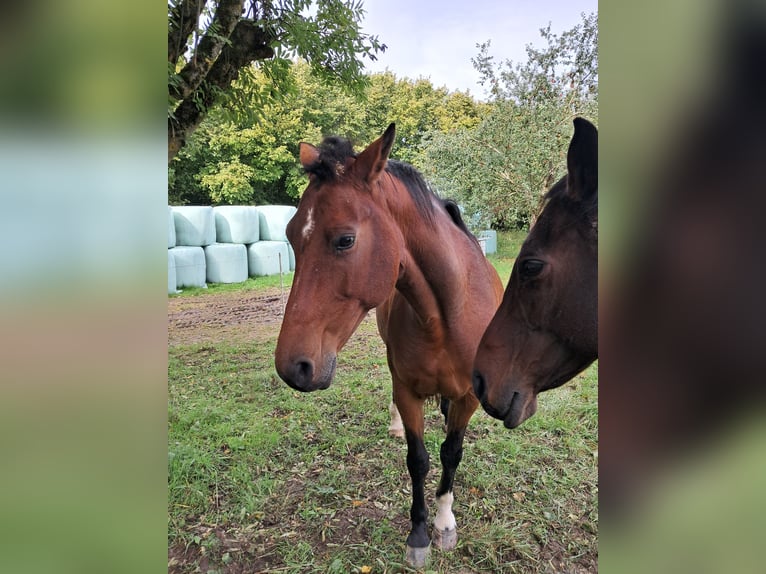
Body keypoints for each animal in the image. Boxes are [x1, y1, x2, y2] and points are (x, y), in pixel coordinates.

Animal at [275, 123, 503, 567]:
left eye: (345, 240)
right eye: (292, 236)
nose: (292, 367)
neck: (447, 316)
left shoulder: (469, 396)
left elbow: (451, 453)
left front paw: (444, 524)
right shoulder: (408, 390)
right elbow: (418, 460)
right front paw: (419, 535)